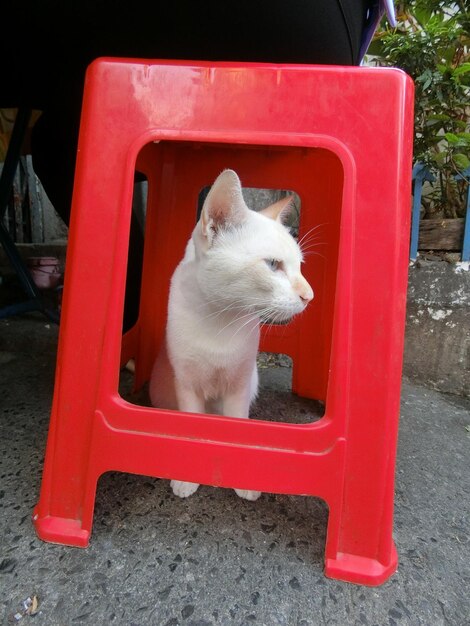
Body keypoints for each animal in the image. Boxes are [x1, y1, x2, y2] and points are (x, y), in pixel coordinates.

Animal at [149, 168, 314, 500]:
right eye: (273, 264)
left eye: (299, 266)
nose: (309, 296)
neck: (220, 320)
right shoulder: (186, 385)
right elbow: (190, 430)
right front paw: (186, 478)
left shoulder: (239, 384)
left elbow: (239, 428)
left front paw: (243, 480)